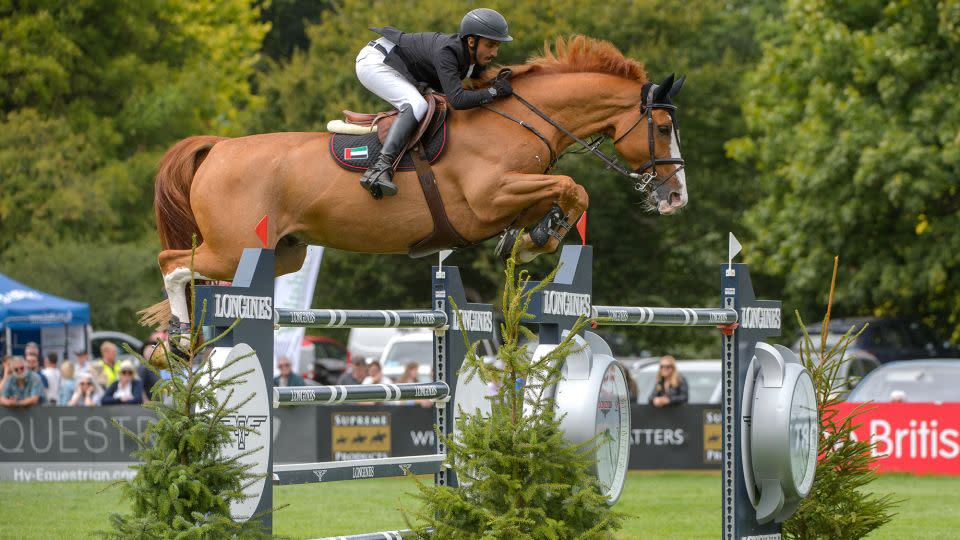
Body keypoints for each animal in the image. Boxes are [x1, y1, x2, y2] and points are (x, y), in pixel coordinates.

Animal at [141, 37, 684, 330]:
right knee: (172, 262)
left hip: (280, 253)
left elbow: (563, 195)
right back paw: (180, 333)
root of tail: (219, 147)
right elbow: (573, 187)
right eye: (661, 128)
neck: (518, 119)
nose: (676, 196)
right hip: (235, 246)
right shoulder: (488, 200)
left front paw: (533, 237)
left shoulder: (514, 194)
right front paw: (537, 239)